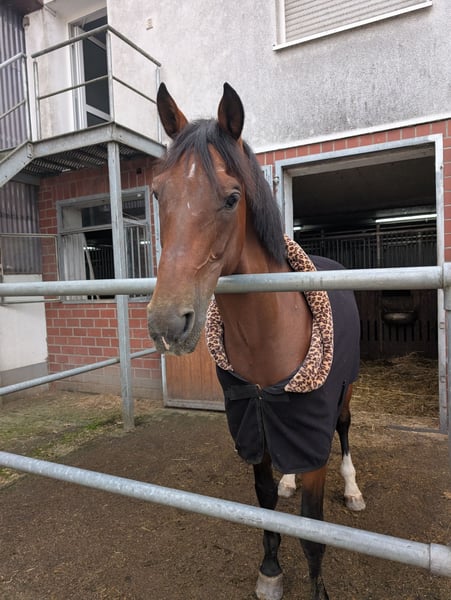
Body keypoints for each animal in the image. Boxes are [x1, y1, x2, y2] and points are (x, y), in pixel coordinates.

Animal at [147, 82, 365, 600]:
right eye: (158, 193)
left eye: (231, 198)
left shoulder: (309, 429)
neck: (270, 335)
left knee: (345, 430)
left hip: (345, 389)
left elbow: (312, 529)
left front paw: (317, 589)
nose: (168, 323)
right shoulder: (257, 423)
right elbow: (266, 503)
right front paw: (269, 570)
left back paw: (352, 489)